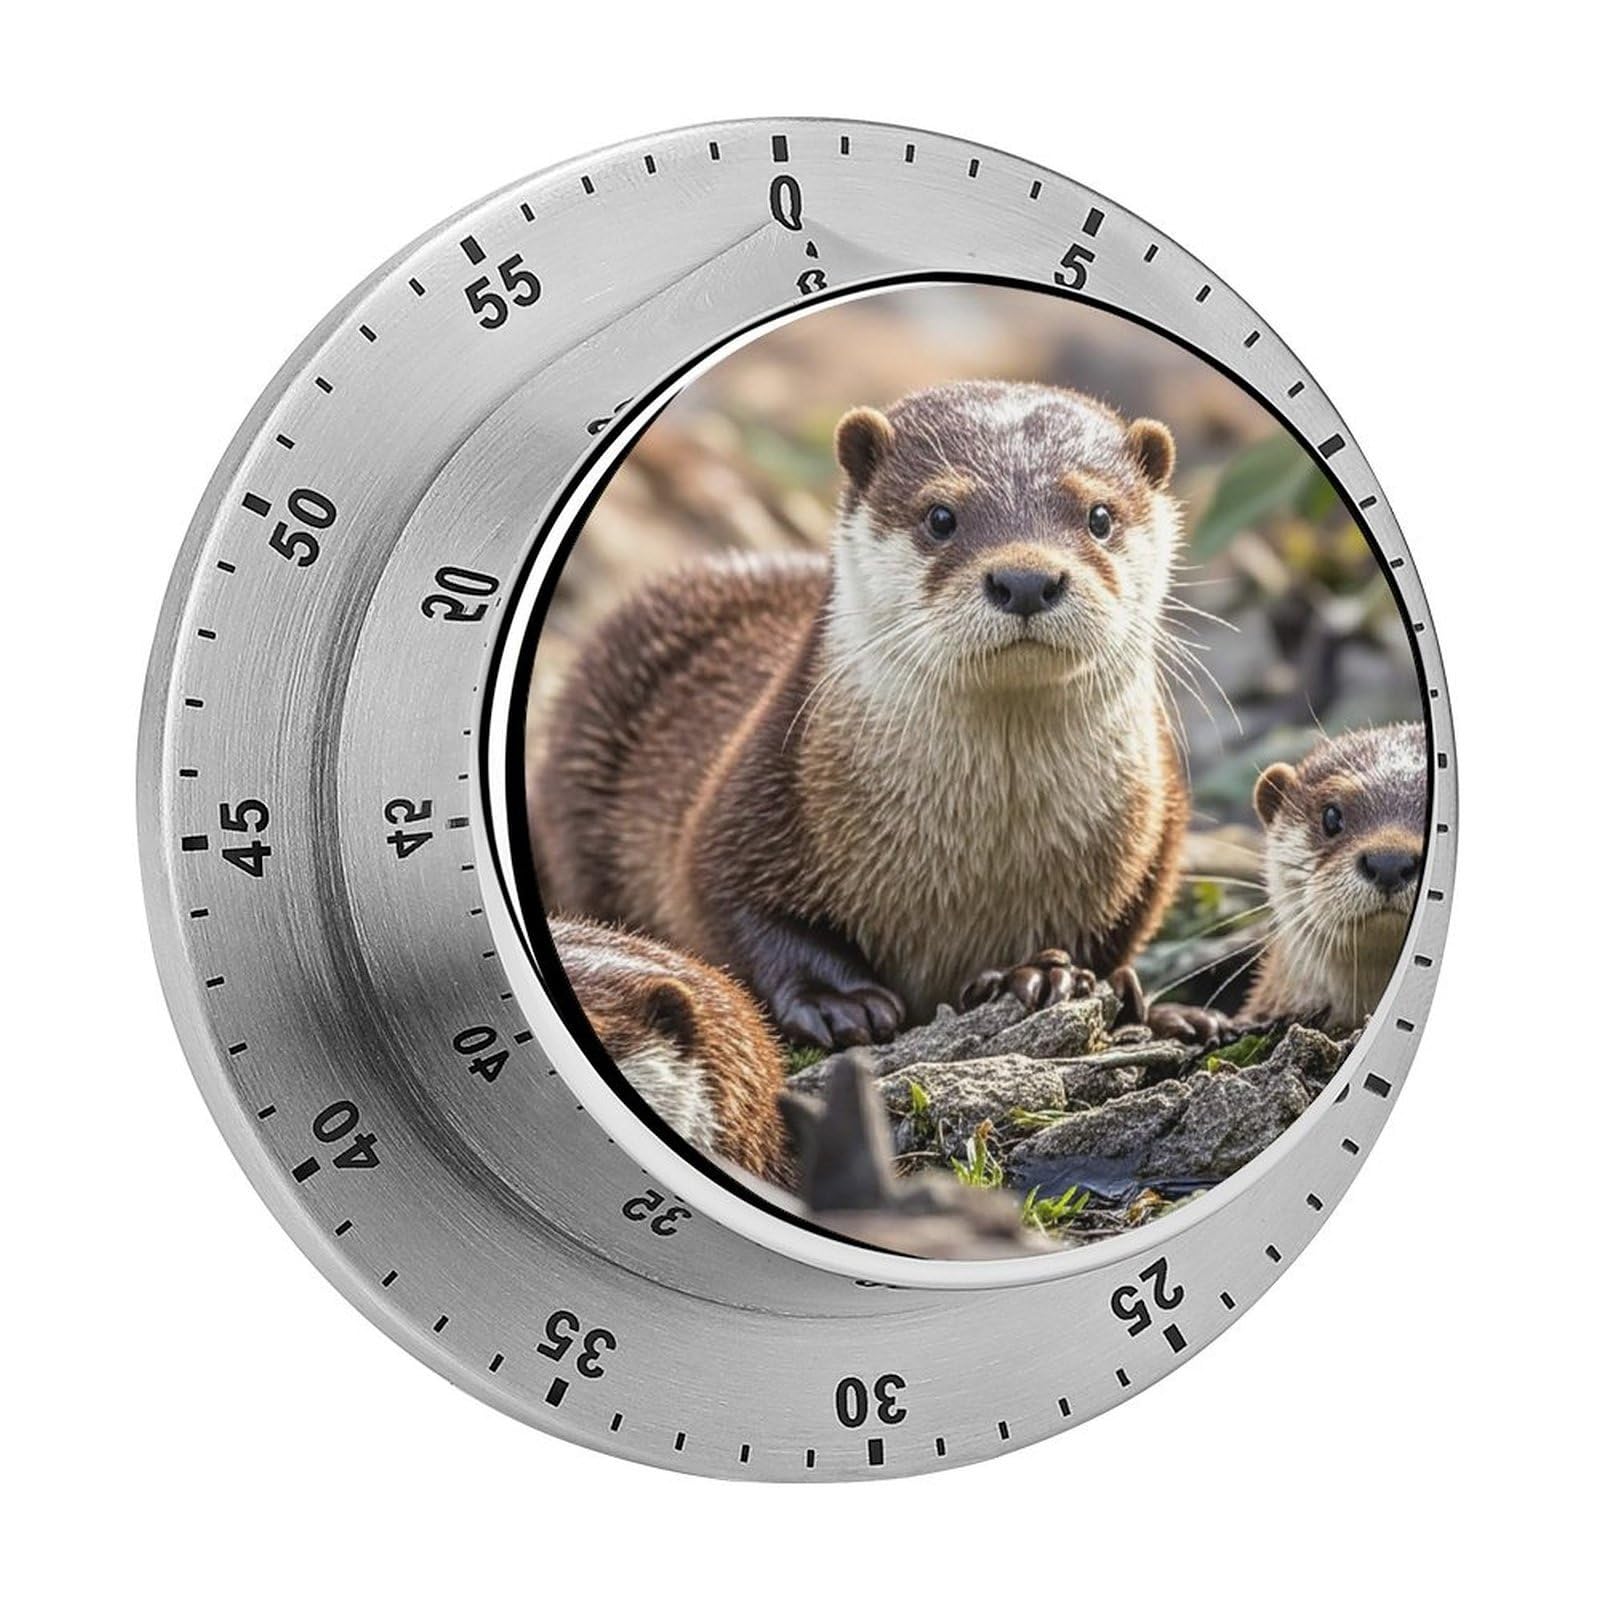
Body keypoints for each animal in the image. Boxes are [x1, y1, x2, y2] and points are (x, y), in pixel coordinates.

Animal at [534, 380, 1190, 1050]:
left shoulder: (1153, 836)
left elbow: (1112, 938)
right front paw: (836, 998)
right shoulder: (749, 796)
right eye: (940, 516)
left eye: (1100, 516)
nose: (1026, 578)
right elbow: (731, 907)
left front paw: (1042, 972)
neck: (977, 859)